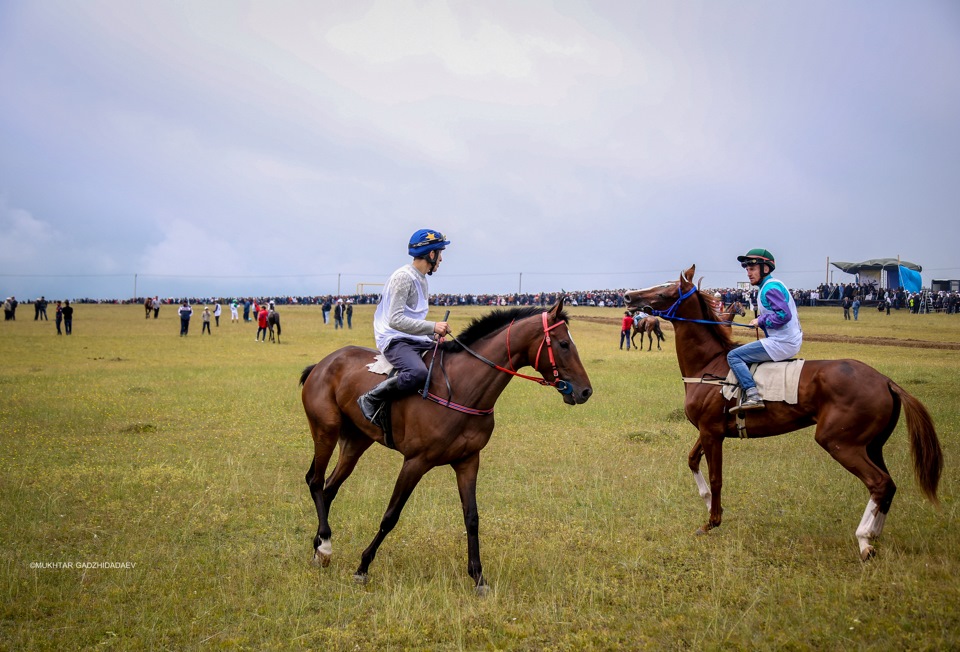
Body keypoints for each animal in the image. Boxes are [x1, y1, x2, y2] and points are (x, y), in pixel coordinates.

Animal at [298, 298, 592, 592]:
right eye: (564, 344)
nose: (586, 391)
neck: (461, 388)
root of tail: (323, 364)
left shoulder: (468, 460)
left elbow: (472, 518)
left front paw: (478, 576)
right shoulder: (415, 462)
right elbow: (391, 515)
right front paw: (363, 566)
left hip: (356, 441)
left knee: (329, 488)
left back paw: (318, 546)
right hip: (326, 431)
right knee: (315, 481)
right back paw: (325, 544)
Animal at [624, 264, 944, 560]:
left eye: (665, 291)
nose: (628, 296)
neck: (709, 366)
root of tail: (886, 380)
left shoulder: (712, 432)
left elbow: (716, 478)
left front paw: (713, 520)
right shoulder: (709, 430)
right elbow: (692, 461)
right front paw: (709, 505)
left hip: (840, 442)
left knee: (878, 483)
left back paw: (864, 539)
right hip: (872, 445)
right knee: (888, 485)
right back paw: (874, 535)